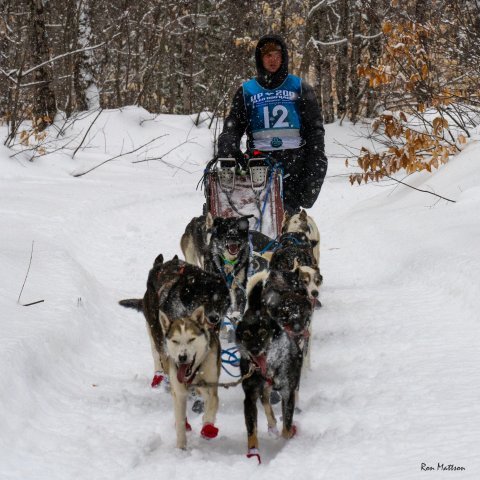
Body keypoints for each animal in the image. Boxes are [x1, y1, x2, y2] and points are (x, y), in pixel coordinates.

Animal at [160, 306, 221, 449]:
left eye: (191, 339)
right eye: (175, 341)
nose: (182, 357)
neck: (194, 372)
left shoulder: (211, 387)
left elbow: (211, 406)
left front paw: (208, 428)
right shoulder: (179, 393)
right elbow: (180, 420)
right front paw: (181, 447)